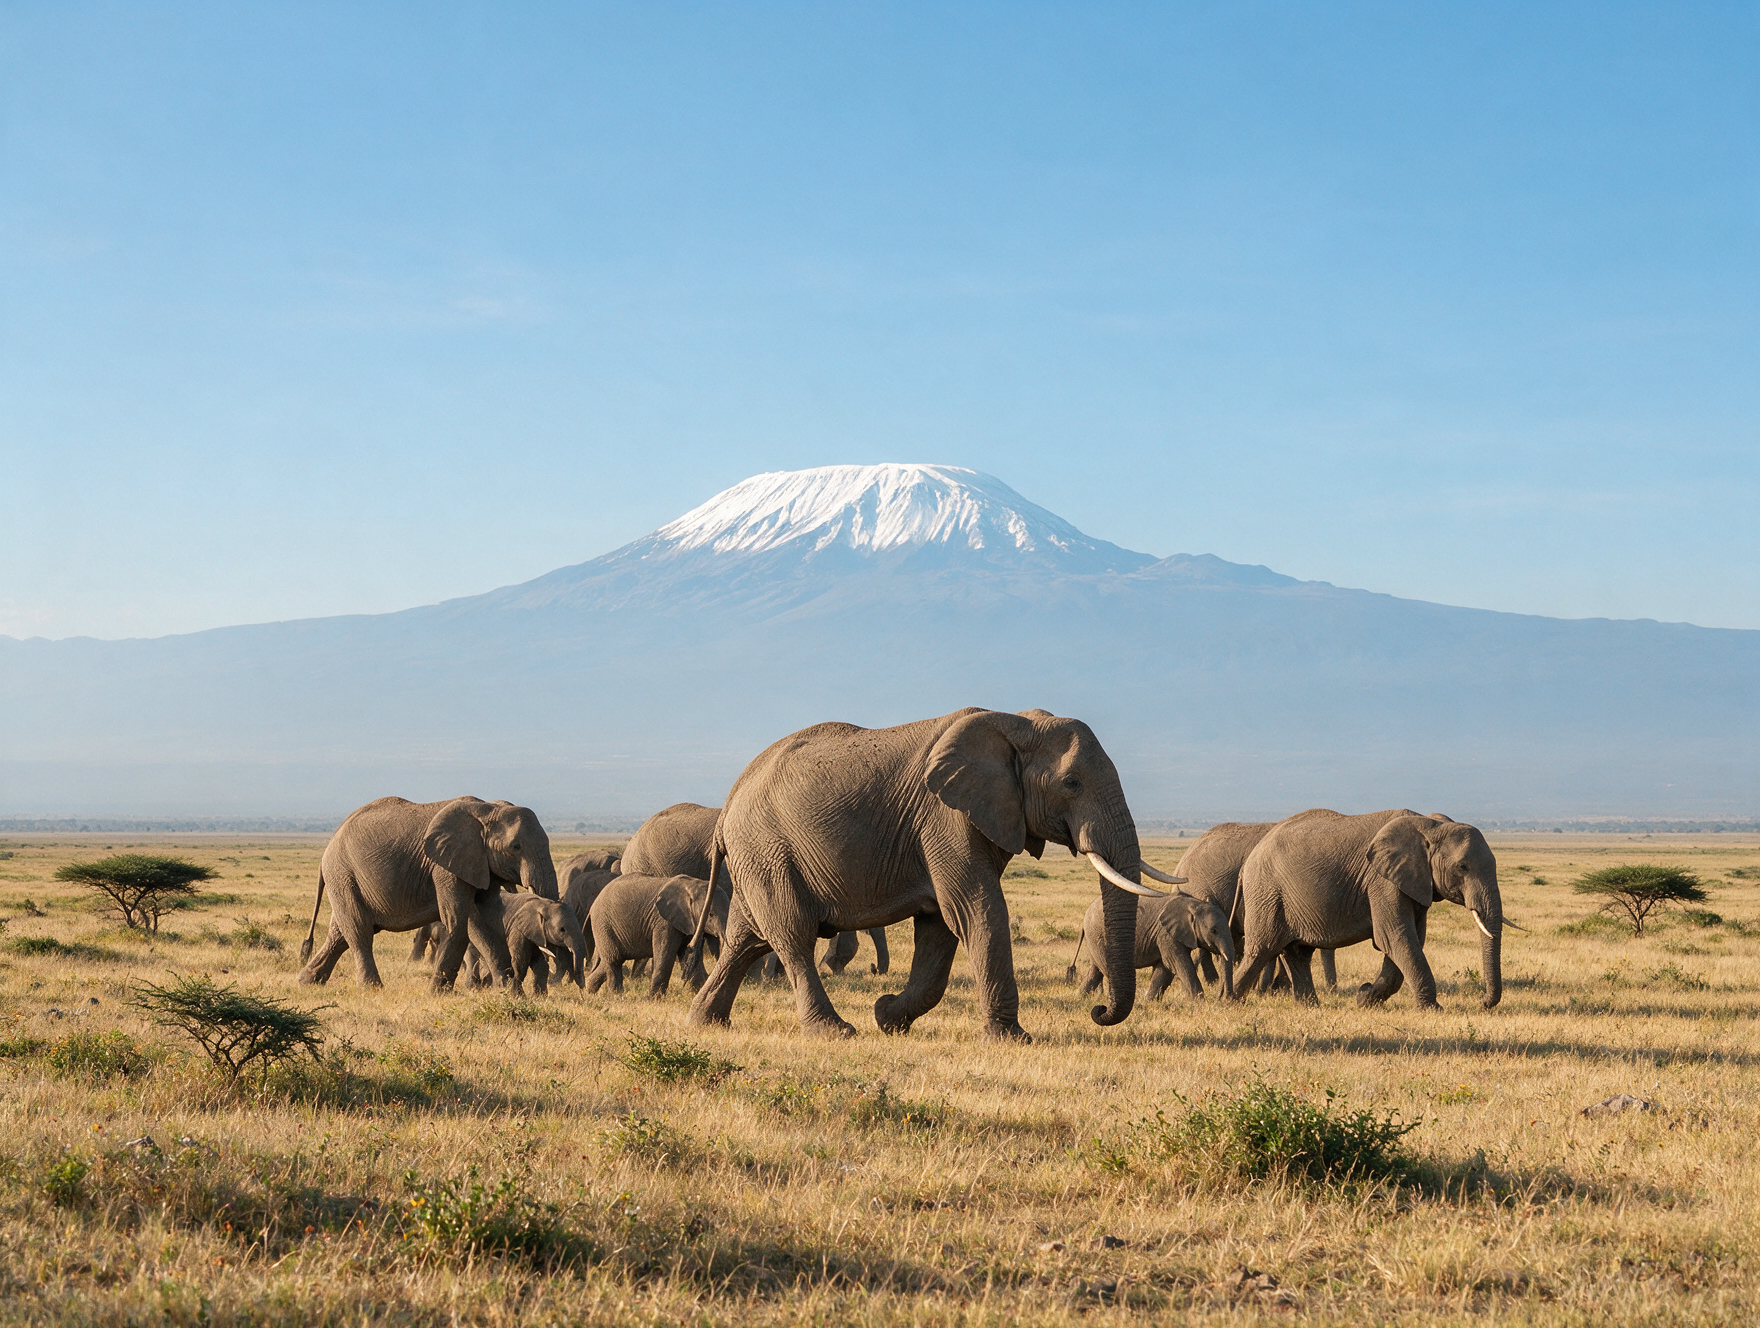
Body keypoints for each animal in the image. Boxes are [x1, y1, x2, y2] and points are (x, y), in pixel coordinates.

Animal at [297, 795, 559, 991]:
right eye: (515, 847)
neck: (488, 809)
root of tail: (329, 844)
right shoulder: (444, 867)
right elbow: (461, 918)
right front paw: (438, 993)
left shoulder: (481, 863)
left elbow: (482, 917)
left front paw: (510, 991)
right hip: (343, 873)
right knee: (359, 930)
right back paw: (371, 989)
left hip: (346, 879)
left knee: (339, 934)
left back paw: (307, 981)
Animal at [587, 873, 725, 997]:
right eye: (711, 914)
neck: (692, 885)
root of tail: (593, 904)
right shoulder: (664, 922)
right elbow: (666, 955)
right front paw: (654, 999)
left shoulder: (688, 923)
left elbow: (687, 954)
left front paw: (697, 993)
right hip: (604, 924)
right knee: (614, 960)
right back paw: (615, 996)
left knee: (611, 959)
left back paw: (590, 990)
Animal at [686, 707, 1180, 1042]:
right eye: (1072, 784)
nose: (1098, 1012)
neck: (1016, 723)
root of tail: (729, 801)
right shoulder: (946, 818)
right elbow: (976, 909)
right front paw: (1013, 1039)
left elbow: (940, 926)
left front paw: (887, 1017)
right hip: (767, 849)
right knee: (792, 936)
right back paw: (835, 1031)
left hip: (758, 856)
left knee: (746, 938)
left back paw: (705, 1022)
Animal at [1066, 893, 1236, 1000]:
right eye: (1214, 931)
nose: (1222, 998)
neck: (1194, 904)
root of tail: (1085, 917)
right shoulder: (1166, 934)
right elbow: (1179, 964)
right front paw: (1199, 1001)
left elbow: (1164, 968)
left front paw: (1149, 1001)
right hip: (1098, 934)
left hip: (1095, 938)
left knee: (1095, 970)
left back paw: (1081, 997)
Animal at [1230, 809, 1503, 1010]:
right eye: (1463, 867)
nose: (1482, 1004)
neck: (1430, 825)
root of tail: (1248, 861)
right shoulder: (1381, 881)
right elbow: (1395, 937)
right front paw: (1432, 1009)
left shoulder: (1413, 882)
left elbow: (1409, 940)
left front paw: (1364, 999)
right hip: (1267, 893)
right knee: (1262, 949)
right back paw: (1229, 1001)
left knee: (1298, 953)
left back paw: (1310, 1006)